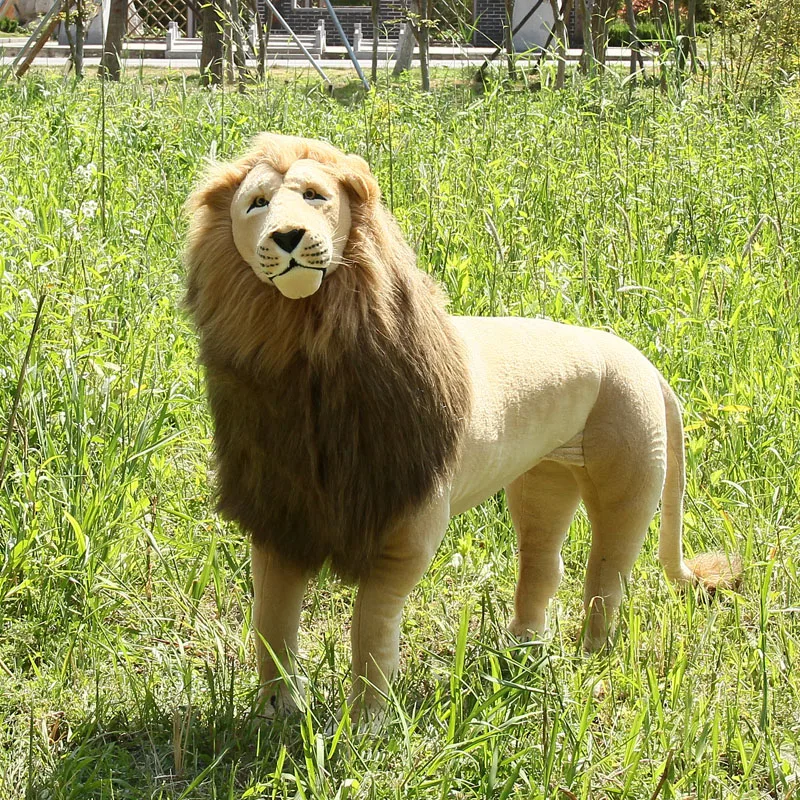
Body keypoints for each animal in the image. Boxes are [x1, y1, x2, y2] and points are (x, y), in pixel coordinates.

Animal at [185, 133, 742, 719]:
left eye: (315, 195)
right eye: (257, 204)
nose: (288, 236)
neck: (306, 349)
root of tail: (644, 362)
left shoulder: (403, 535)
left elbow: (371, 633)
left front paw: (365, 725)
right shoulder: (280, 515)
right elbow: (272, 624)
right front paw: (275, 713)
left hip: (627, 477)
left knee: (606, 578)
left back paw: (586, 659)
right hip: (543, 481)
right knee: (544, 565)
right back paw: (523, 651)